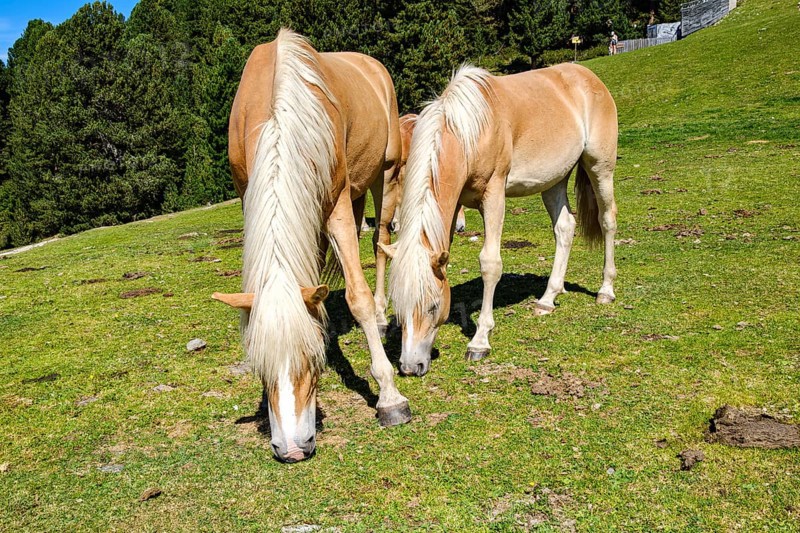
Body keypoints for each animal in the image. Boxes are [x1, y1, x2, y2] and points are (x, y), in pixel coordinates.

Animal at [212, 30, 411, 462]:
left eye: (310, 361)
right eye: (261, 365)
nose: (291, 449)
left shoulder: (335, 203)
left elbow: (358, 296)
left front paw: (390, 397)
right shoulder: (253, 196)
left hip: (384, 176)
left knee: (379, 243)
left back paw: (383, 313)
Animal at [383, 63, 618, 376]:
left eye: (433, 306)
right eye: (398, 308)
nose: (411, 366)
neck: (468, 130)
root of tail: (589, 77)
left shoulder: (494, 194)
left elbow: (490, 264)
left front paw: (480, 340)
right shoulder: (454, 204)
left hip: (600, 168)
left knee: (607, 221)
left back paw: (606, 290)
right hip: (554, 180)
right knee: (565, 228)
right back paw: (547, 299)